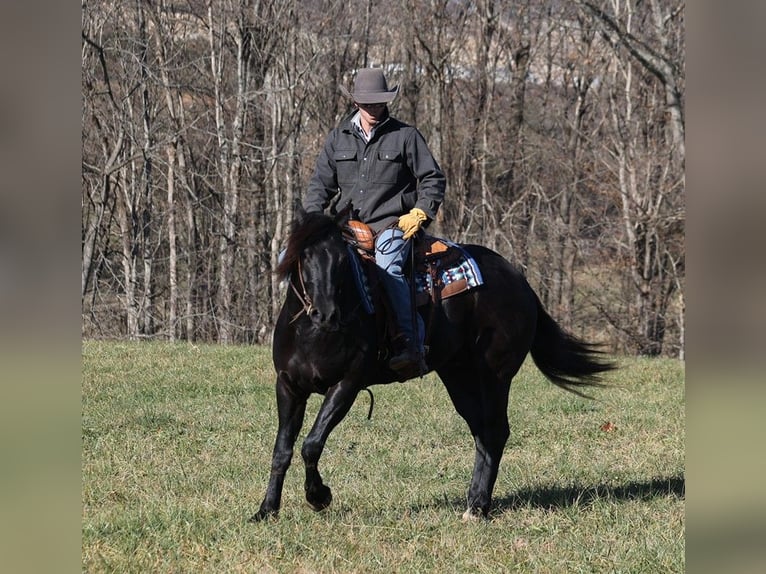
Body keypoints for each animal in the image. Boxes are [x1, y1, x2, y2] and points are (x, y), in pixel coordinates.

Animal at [254, 209, 616, 524]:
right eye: (303, 257)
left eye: (343, 260)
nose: (327, 314)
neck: (313, 334)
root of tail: (519, 280)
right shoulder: (288, 386)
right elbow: (282, 450)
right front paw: (266, 510)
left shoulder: (347, 384)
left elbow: (311, 444)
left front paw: (319, 497)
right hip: (458, 375)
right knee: (482, 433)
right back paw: (473, 502)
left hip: (495, 375)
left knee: (495, 431)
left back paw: (478, 507)